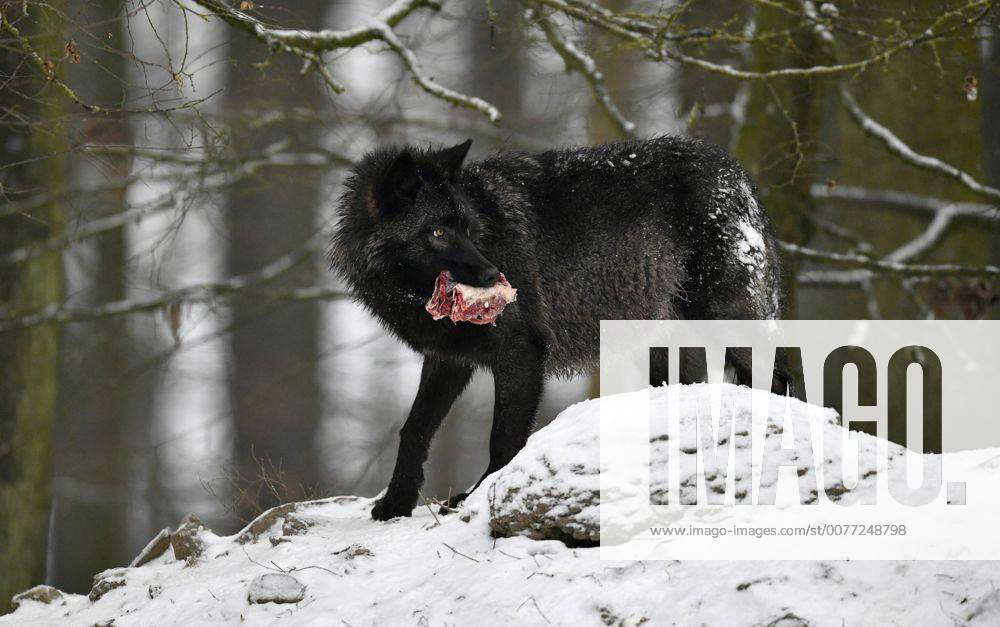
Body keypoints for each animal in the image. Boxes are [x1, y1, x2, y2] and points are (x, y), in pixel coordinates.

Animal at [328, 136, 780, 520]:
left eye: (468, 229)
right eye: (438, 231)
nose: (493, 274)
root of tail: (738, 175)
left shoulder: (521, 352)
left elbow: (503, 438)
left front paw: (478, 497)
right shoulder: (446, 359)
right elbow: (414, 428)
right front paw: (396, 502)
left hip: (726, 323)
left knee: (777, 379)